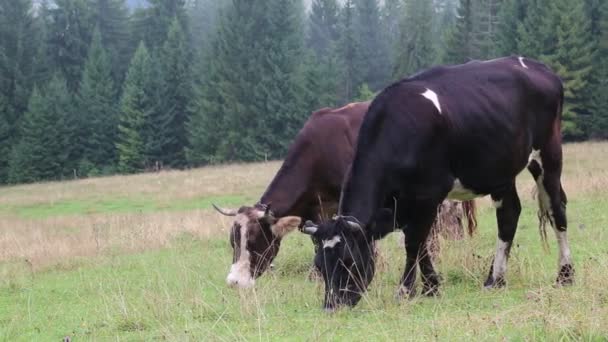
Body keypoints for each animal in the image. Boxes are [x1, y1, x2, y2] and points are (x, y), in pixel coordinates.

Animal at [211, 102, 478, 288]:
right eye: (233, 241)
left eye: (255, 241)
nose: (234, 282)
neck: (318, 154)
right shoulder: (315, 210)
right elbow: (317, 240)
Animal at [302, 56, 572, 312]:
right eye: (319, 265)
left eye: (348, 261)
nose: (331, 306)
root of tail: (539, 68)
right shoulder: (404, 206)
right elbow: (421, 243)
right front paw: (431, 287)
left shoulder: (428, 196)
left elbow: (414, 242)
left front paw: (405, 291)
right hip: (501, 170)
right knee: (509, 215)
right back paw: (495, 279)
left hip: (548, 154)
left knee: (556, 209)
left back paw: (565, 275)